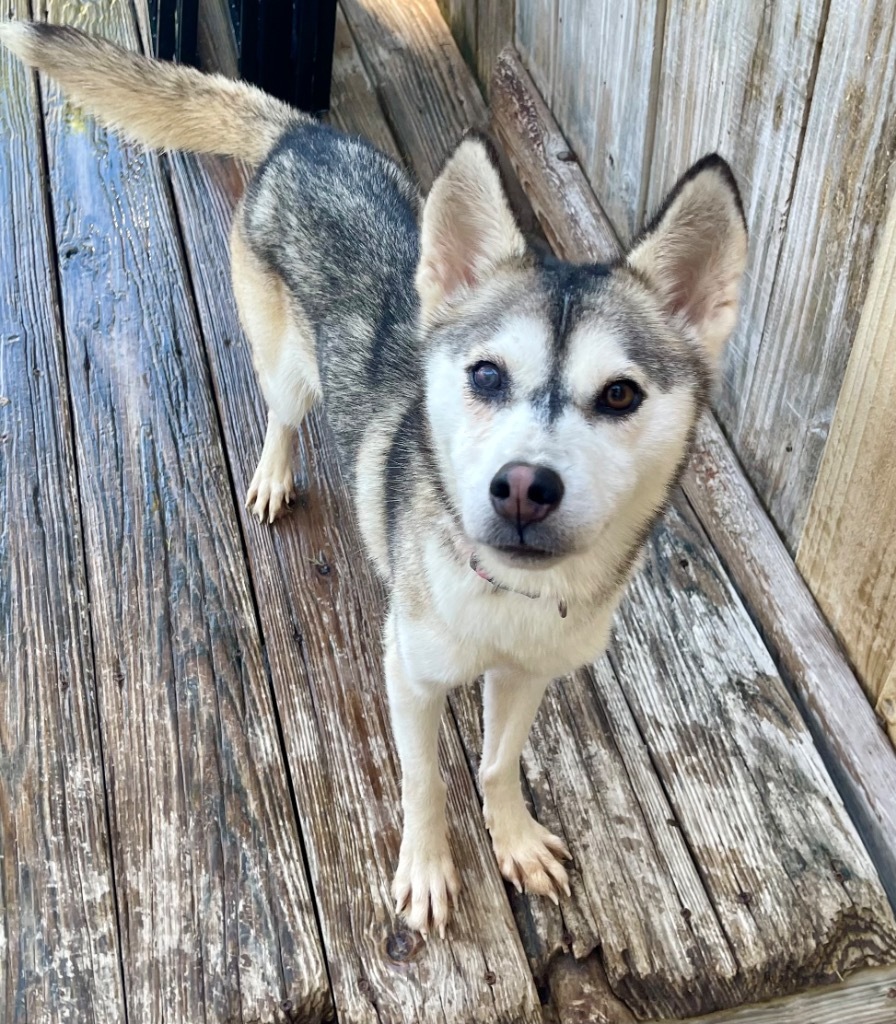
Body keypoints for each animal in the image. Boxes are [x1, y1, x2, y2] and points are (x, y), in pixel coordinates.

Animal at [1, 22, 749, 937]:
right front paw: (427, 867)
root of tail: (301, 134)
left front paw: (513, 837)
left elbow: (497, 763)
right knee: (284, 409)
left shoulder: (528, 674)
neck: (511, 594)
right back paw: (274, 470)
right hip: (287, 364)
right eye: (487, 375)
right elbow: (426, 778)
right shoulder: (410, 671)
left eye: (620, 395)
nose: (523, 488)